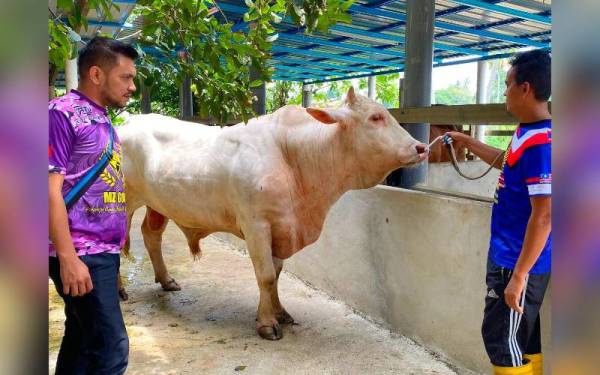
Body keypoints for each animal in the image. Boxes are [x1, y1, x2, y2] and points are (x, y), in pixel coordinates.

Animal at [118, 88, 426, 340]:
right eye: (375, 117)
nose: (421, 147)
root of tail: (129, 121)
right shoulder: (257, 226)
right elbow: (265, 275)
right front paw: (267, 323)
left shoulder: (282, 225)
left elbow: (276, 274)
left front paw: (279, 313)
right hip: (123, 203)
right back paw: (120, 290)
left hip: (157, 204)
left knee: (151, 235)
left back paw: (166, 280)